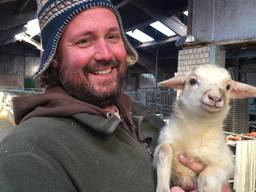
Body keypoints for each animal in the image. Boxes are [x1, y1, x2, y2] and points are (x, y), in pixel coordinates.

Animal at [153, 64, 256, 192]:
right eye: (192, 81)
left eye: (228, 87)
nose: (215, 97)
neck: (197, 128)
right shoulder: (166, 139)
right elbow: (164, 150)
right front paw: (162, 188)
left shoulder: (225, 163)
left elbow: (208, 178)